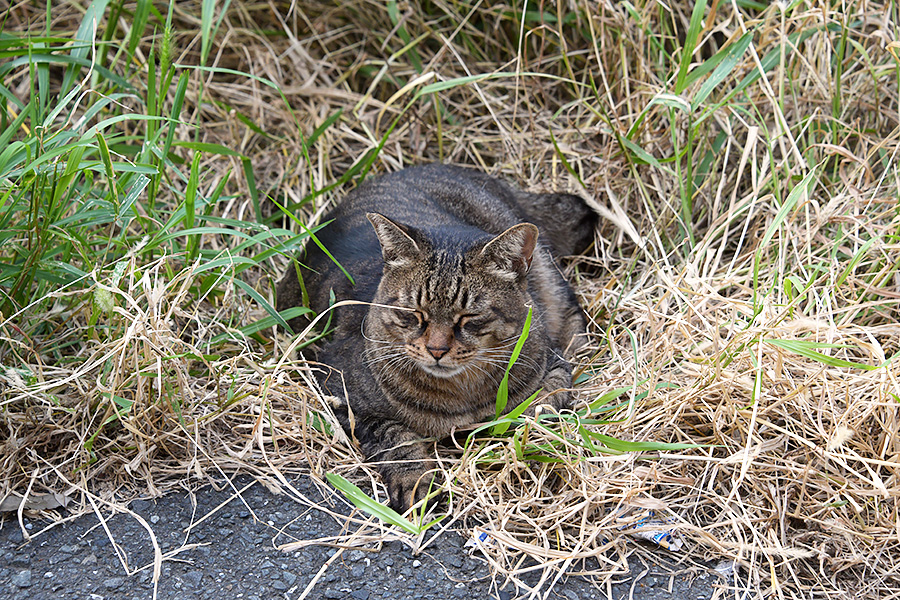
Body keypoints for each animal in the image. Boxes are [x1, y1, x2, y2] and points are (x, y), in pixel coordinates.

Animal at [278, 164, 596, 510]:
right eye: (414, 312)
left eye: (468, 317)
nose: (436, 349)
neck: (461, 395)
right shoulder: (338, 388)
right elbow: (395, 436)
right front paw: (415, 480)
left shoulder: (552, 363)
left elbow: (545, 400)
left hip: (548, 278)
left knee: (572, 315)